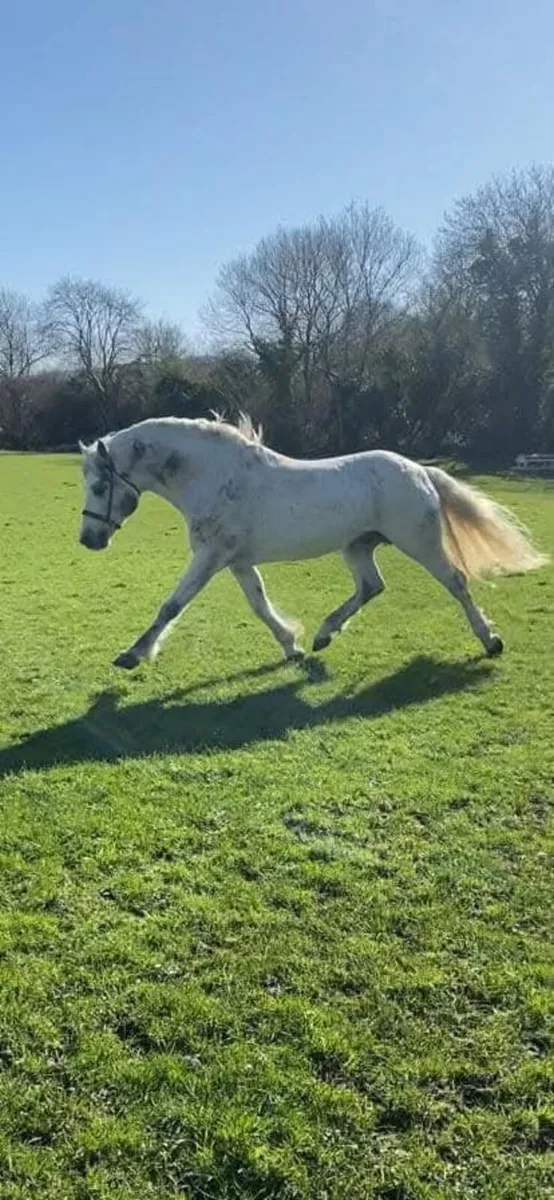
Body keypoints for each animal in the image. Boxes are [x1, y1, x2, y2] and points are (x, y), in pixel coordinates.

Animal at [78, 414, 547, 671]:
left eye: (100, 485)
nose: (88, 540)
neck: (212, 475)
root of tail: (419, 470)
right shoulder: (235, 560)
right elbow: (259, 604)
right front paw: (292, 645)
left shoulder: (211, 556)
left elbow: (172, 605)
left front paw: (133, 654)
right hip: (357, 546)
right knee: (371, 586)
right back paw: (324, 635)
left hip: (420, 543)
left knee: (457, 583)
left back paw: (490, 641)